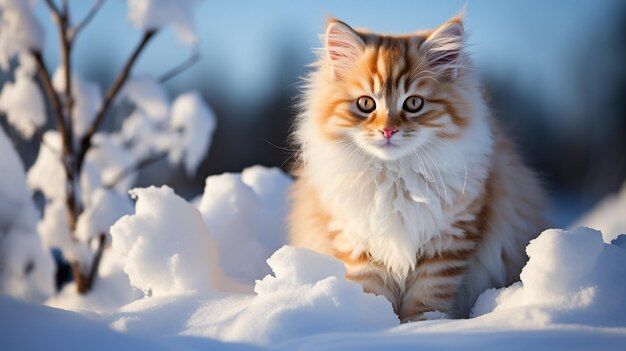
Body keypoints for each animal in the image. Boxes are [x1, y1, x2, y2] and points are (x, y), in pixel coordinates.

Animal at [288, 15, 544, 324]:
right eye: (365, 103)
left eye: (413, 103)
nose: (388, 130)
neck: (394, 175)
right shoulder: (358, 242)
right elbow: (372, 293)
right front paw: (375, 324)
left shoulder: (448, 241)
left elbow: (428, 298)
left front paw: (423, 327)